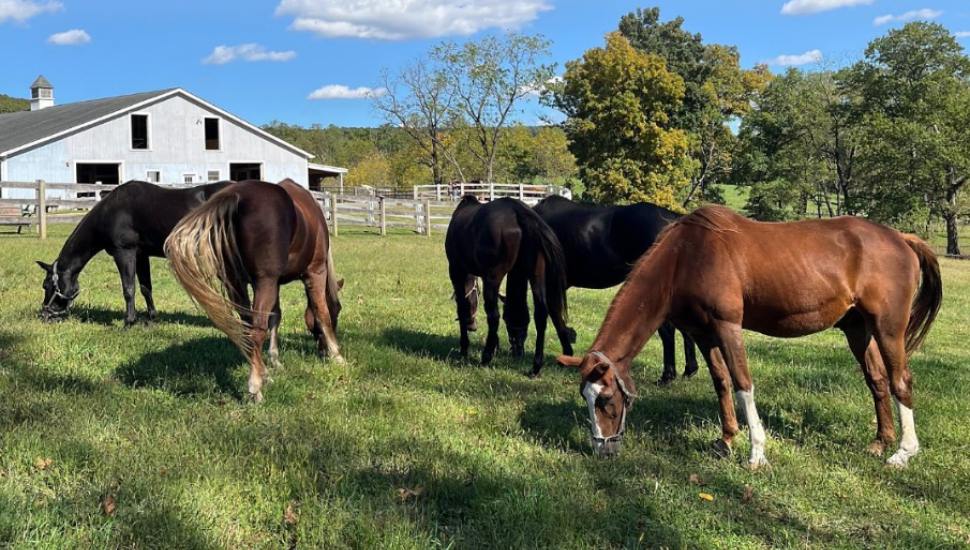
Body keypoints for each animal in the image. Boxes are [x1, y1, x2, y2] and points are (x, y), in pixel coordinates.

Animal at [36, 180, 232, 325]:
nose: (44, 314)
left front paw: (129, 321)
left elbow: (129, 288)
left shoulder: (124, 253)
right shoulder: (141, 255)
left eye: (46, 285)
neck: (111, 212)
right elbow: (146, 288)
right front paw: (152, 318)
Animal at [164, 179, 343, 402]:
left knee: (248, 328)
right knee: (257, 329)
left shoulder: (275, 283)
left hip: (236, 283)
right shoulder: (314, 272)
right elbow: (321, 313)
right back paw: (255, 387)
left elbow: (276, 317)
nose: (322, 351)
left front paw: (274, 361)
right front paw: (337, 355)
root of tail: (237, 195)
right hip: (263, 282)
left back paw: (261, 372)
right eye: (339, 312)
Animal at [445, 196, 573, 376]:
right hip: (536, 274)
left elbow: (462, 307)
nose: (472, 326)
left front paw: (464, 349)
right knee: (541, 314)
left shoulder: (456, 271)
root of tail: (518, 212)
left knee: (493, 315)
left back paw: (486, 357)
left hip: (493, 276)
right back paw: (535, 366)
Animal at [530, 195, 699, 385]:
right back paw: (688, 370)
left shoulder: (542, 279)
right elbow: (556, 315)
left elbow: (542, 317)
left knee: (668, 330)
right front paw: (566, 353)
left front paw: (536, 366)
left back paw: (667, 376)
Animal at [558, 206, 941, 469]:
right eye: (585, 398)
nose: (602, 448)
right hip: (858, 329)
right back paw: (880, 442)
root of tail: (901, 238)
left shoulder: (728, 327)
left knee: (900, 381)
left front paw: (757, 453)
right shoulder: (703, 334)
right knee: (877, 380)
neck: (687, 257)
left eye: (607, 400)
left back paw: (903, 453)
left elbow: (743, 384)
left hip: (888, 327)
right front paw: (727, 440)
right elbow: (721, 383)